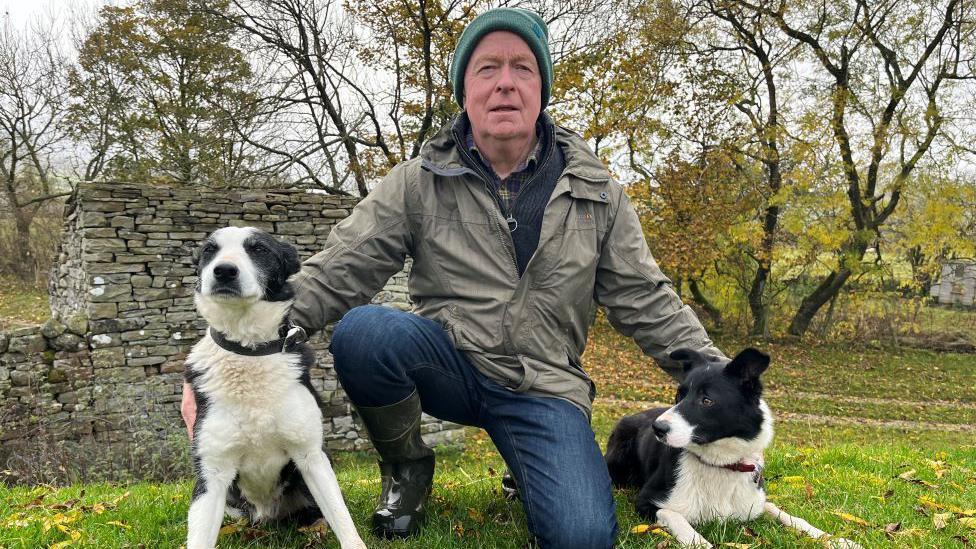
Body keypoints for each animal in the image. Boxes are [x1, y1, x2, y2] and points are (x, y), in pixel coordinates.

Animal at [183, 226, 366, 548]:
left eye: (259, 249)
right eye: (209, 250)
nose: (224, 271)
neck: (249, 351)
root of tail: (266, 514)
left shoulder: (311, 457)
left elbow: (342, 518)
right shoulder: (212, 473)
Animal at [608, 348, 856, 544]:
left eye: (707, 400)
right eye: (679, 394)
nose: (657, 428)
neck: (721, 465)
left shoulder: (755, 501)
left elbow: (784, 513)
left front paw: (836, 540)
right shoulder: (647, 501)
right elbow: (677, 518)